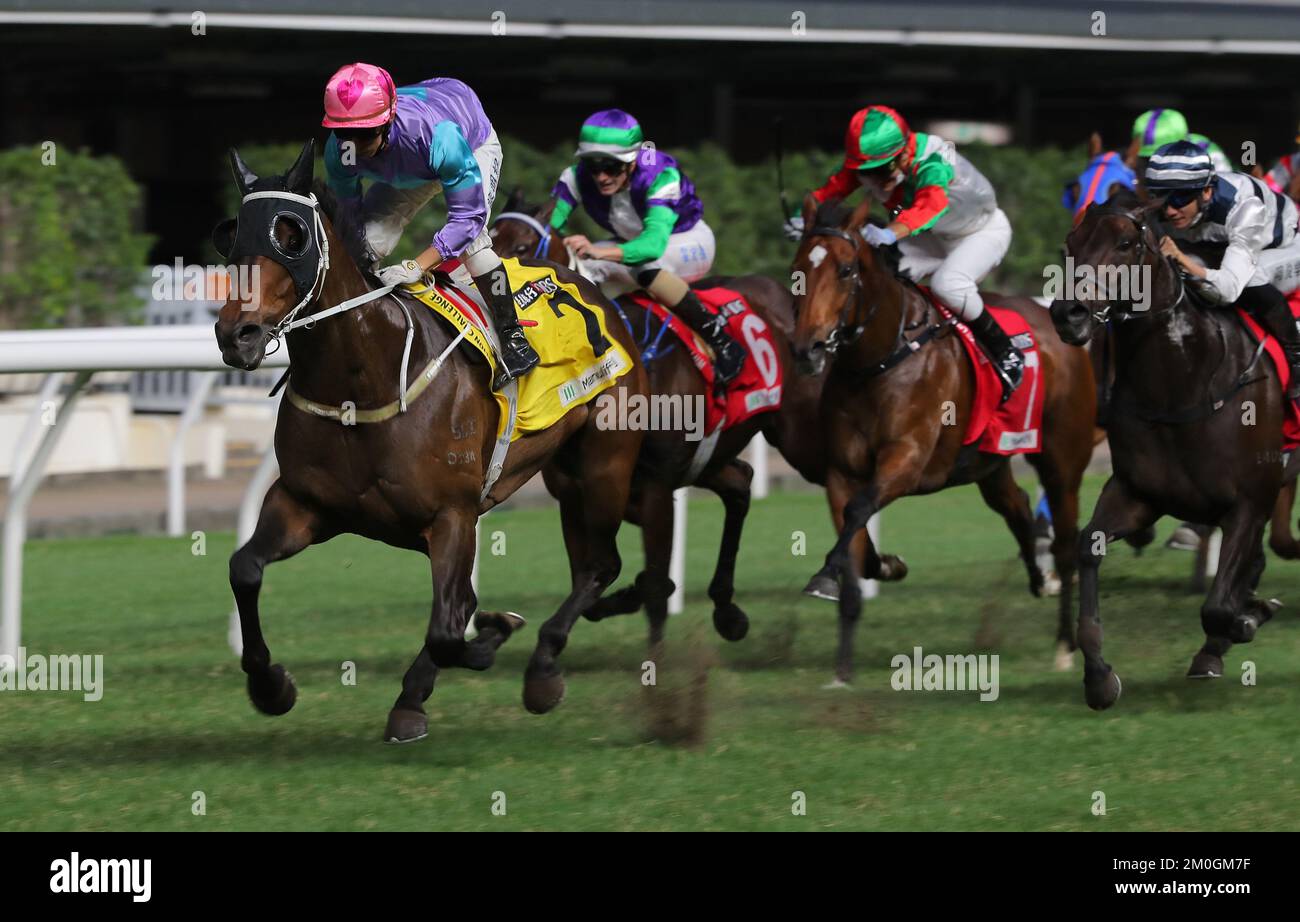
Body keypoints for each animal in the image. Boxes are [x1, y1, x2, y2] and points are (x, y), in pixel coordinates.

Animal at [209, 140, 650, 738]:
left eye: (291, 235)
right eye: (232, 237)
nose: (237, 334)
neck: (361, 384)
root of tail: (587, 285)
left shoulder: (452, 514)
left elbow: (448, 628)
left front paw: (489, 637)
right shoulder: (306, 504)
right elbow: (245, 569)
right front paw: (270, 685)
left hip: (605, 461)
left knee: (599, 566)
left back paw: (541, 668)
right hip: (564, 477)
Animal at [488, 191, 832, 645]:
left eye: (524, 247)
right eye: (491, 239)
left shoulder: (655, 490)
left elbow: (652, 588)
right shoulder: (574, 493)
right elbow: (602, 591)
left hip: (795, 436)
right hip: (709, 459)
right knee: (740, 483)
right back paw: (728, 610)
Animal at [785, 193, 1102, 681]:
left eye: (846, 270)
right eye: (797, 267)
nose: (808, 349)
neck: (878, 361)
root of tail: (1065, 330)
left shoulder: (907, 460)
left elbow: (860, 511)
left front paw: (824, 577)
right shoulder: (841, 472)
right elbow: (855, 540)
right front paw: (842, 667)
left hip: (1062, 460)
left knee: (1066, 544)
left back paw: (1065, 645)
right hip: (991, 460)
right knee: (1017, 508)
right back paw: (1038, 579)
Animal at [1050, 188, 1294, 707]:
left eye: (1125, 243)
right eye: (1069, 243)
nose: (1068, 314)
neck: (1183, 383)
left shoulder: (1249, 501)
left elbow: (1219, 605)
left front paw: (1248, 617)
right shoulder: (1138, 494)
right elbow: (1087, 547)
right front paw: (1098, 676)